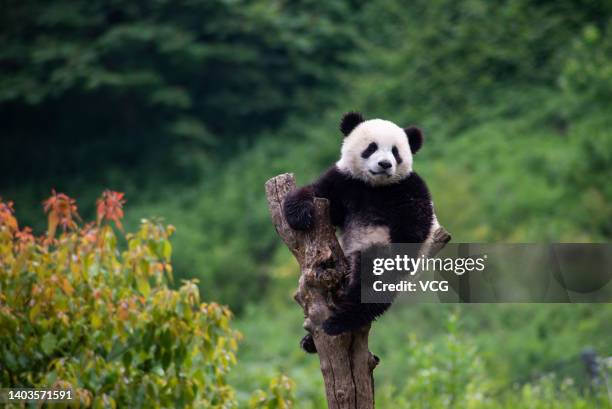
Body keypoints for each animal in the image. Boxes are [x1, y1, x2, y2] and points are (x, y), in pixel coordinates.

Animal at [282, 111, 440, 350]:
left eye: (395, 152)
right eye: (371, 147)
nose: (385, 164)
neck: (374, 186)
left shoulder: (407, 187)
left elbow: (415, 222)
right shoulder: (345, 181)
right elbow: (317, 192)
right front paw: (299, 214)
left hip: (374, 247)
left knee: (372, 280)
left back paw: (340, 321)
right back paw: (309, 341)